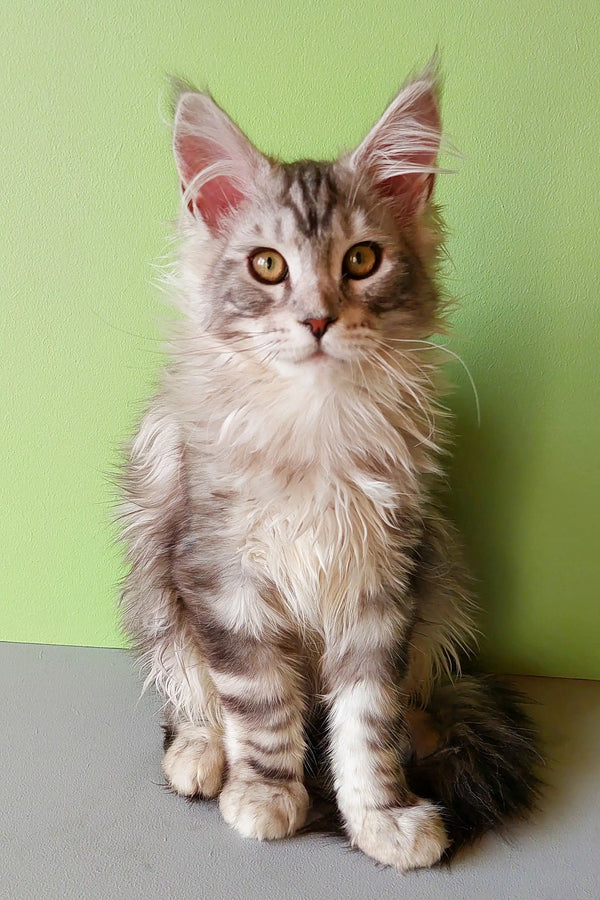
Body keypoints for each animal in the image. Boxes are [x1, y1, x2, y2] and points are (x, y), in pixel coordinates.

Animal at [118, 61, 540, 872]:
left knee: (411, 696)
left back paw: (426, 732)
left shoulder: (383, 576)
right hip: (152, 582)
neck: (313, 423)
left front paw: (384, 818)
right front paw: (264, 796)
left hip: (443, 569)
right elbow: (260, 704)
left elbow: (367, 724)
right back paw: (199, 754)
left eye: (362, 260)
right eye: (268, 265)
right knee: (190, 693)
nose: (316, 319)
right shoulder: (222, 575)